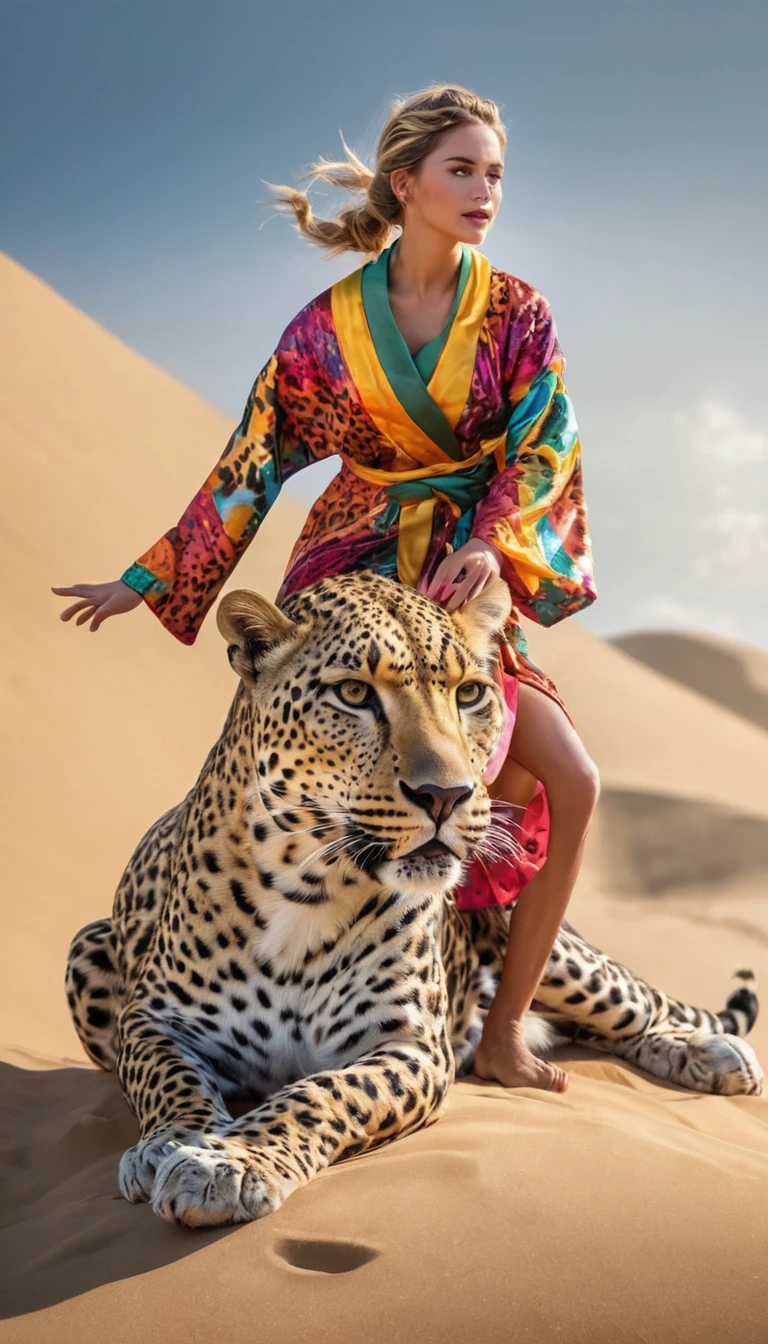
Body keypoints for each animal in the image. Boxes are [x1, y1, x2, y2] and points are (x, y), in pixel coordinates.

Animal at [64, 569, 763, 1231]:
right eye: (354, 694)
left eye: (470, 693)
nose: (447, 795)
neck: (303, 887)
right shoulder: (154, 1019)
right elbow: (168, 1082)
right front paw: (170, 1145)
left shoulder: (410, 1045)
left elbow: (321, 1094)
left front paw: (227, 1163)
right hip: (86, 947)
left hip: (561, 955)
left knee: (637, 1007)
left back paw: (710, 1053)